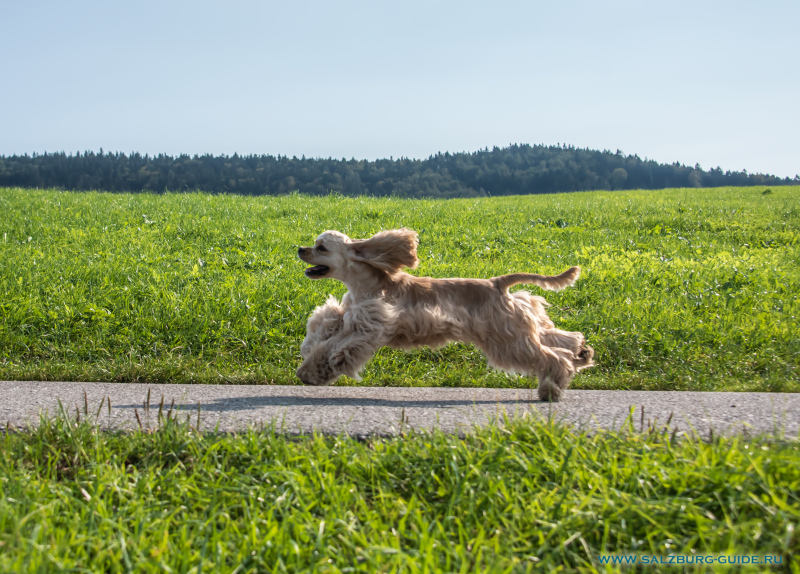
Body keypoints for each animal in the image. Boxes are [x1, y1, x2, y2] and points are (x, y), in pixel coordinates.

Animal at [296, 228, 592, 400]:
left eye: (321, 247)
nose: (299, 249)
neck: (367, 285)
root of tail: (497, 283)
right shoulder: (349, 317)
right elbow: (325, 327)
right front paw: (310, 363)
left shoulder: (370, 324)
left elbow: (335, 349)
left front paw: (314, 371)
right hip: (518, 327)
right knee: (562, 339)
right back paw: (582, 353)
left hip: (507, 339)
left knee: (553, 356)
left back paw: (551, 388)